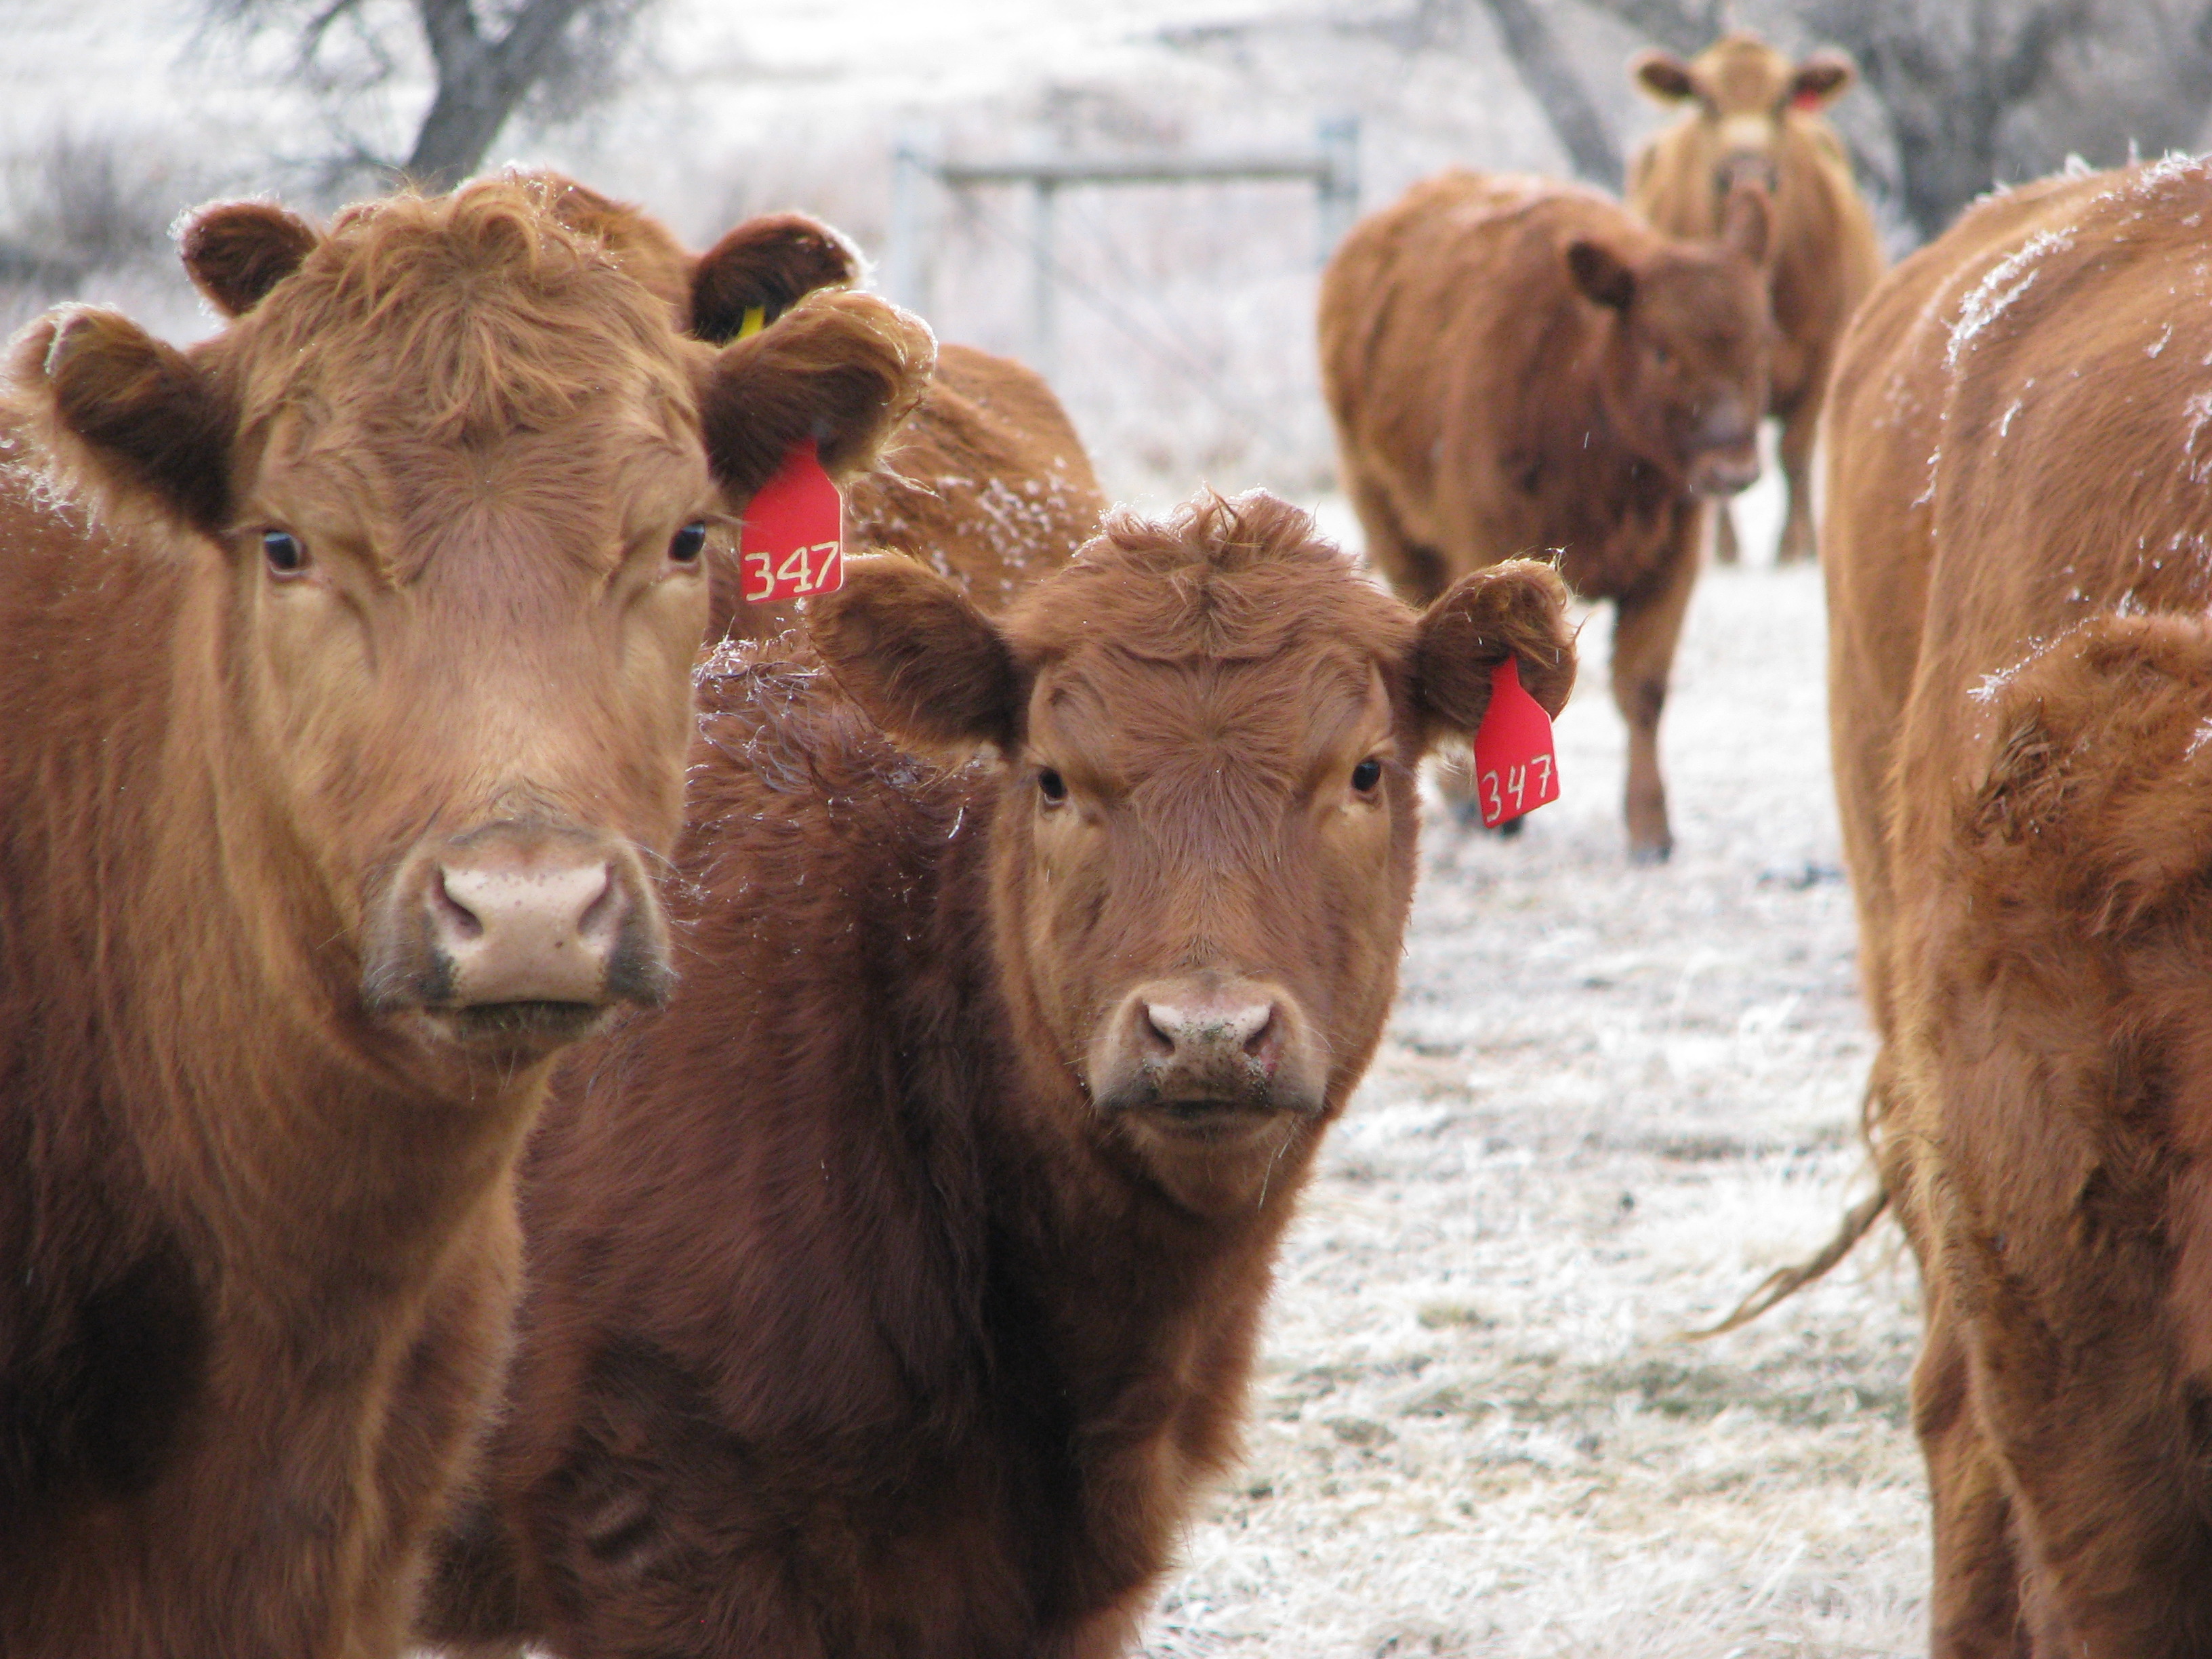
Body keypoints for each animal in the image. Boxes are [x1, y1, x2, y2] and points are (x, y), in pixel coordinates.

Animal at [1318, 173, 1769, 862]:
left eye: (1759, 342)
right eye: (1662, 351)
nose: (1734, 469)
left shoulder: (1669, 564)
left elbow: (1643, 691)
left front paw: (1650, 828)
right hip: (1390, 523)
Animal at [1628, 27, 1884, 566]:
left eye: (1783, 99)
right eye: (1705, 99)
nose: (1746, 168)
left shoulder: (1823, 353)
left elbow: (1796, 453)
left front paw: (1795, 549)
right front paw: (1726, 551)